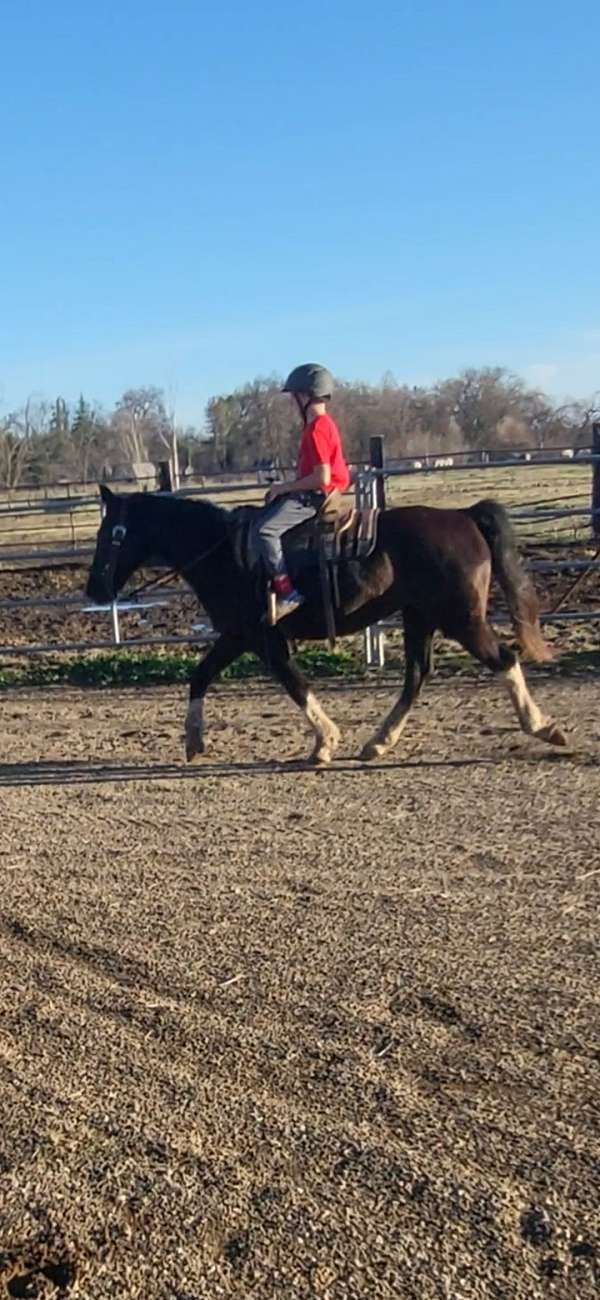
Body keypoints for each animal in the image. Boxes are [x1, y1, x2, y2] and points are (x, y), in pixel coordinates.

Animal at [85, 491, 566, 764]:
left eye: (111, 533)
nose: (93, 588)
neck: (222, 551)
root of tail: (463, 516)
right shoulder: (237, 634)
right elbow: (200, 676)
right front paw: (193, 740)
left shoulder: (264, 637)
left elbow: (294, 684)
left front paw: (324, 743)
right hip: (421, 617)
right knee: (417, 675)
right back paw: (378, 743)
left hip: (461, 618)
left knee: (503, 658)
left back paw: (542, 727)